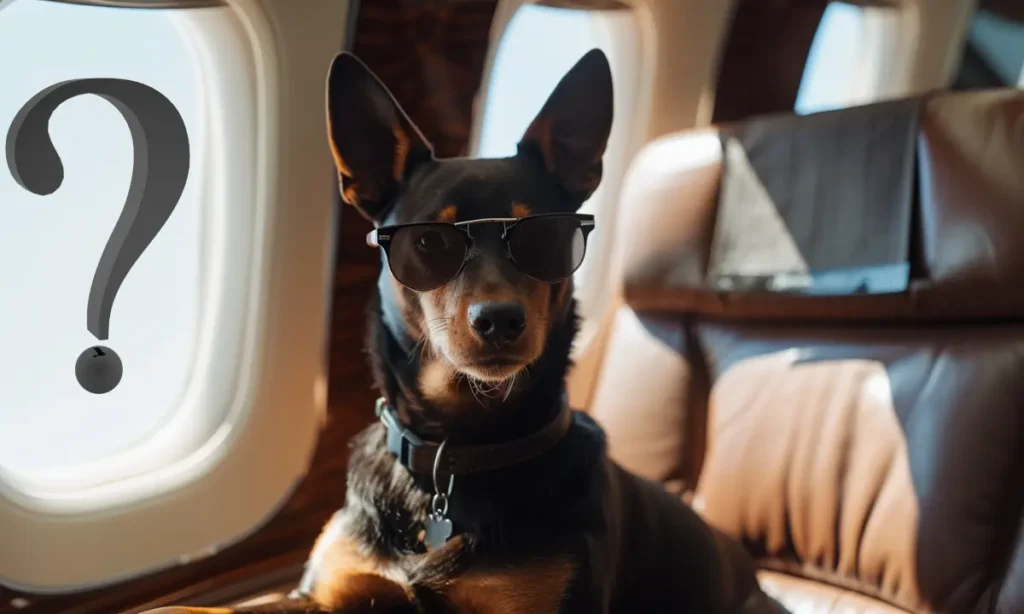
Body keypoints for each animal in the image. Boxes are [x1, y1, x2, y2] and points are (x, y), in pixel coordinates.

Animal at [151, 49, 786, 614]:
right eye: (431, 241)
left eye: (543, 238)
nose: (500, 318)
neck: (452, 455)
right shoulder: (328, 592)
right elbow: (201, 608)